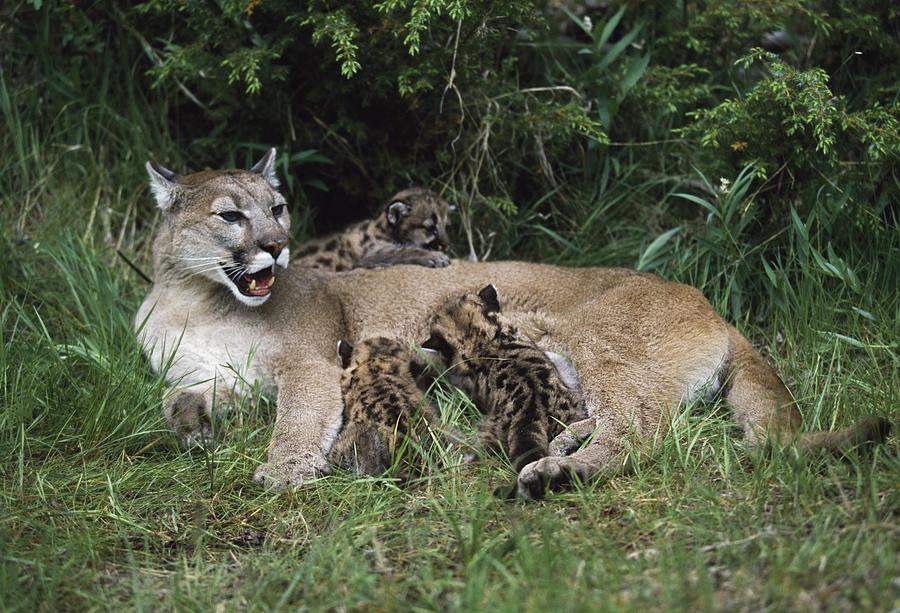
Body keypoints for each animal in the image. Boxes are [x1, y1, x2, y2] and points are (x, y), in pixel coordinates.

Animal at [137, 151, 888, 500]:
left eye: (278, 207)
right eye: (231, 214)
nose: (277, 245)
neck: (192, 297)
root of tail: (709, 303)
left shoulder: (312, 364)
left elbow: (297, 418)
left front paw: (283, 470)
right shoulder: (216, 375)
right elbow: (177, 395)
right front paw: (194, 427)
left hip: (593, 337)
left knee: (642, 428)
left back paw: (558, 471)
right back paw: (562, 445)